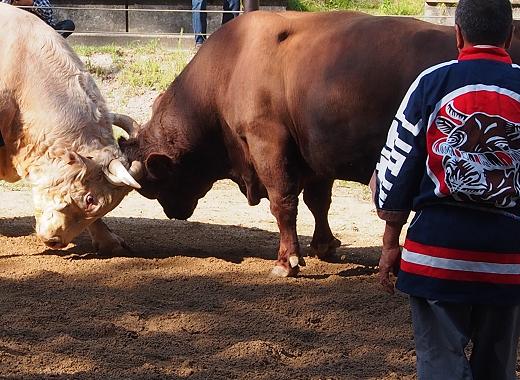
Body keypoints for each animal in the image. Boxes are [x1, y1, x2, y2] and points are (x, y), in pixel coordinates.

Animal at [120, 11, 520, 276]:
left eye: (154, 185)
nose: (174, 212)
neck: (232, 66)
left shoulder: (269, 143)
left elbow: (283, 203)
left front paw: (287, 262)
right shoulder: (315, 155)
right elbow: (318, 202)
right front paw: (324, 245)